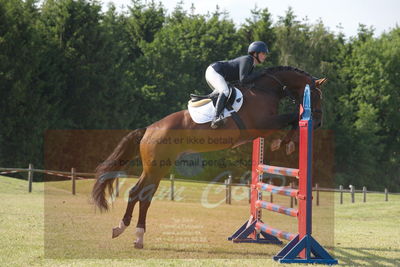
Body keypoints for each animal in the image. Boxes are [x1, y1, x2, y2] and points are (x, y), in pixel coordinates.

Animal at [92, 66, 326, 250]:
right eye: (316, 96)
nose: (318, 123)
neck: (266, 89)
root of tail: (148, 129)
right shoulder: (263, 124)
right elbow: (293, 118)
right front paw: (286, 143)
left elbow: (292, 119)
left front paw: (285, 143)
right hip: (157, 167)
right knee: (143, 195)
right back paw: (135, 234)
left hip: (153, 167)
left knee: (136, 192)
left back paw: (124, 230)